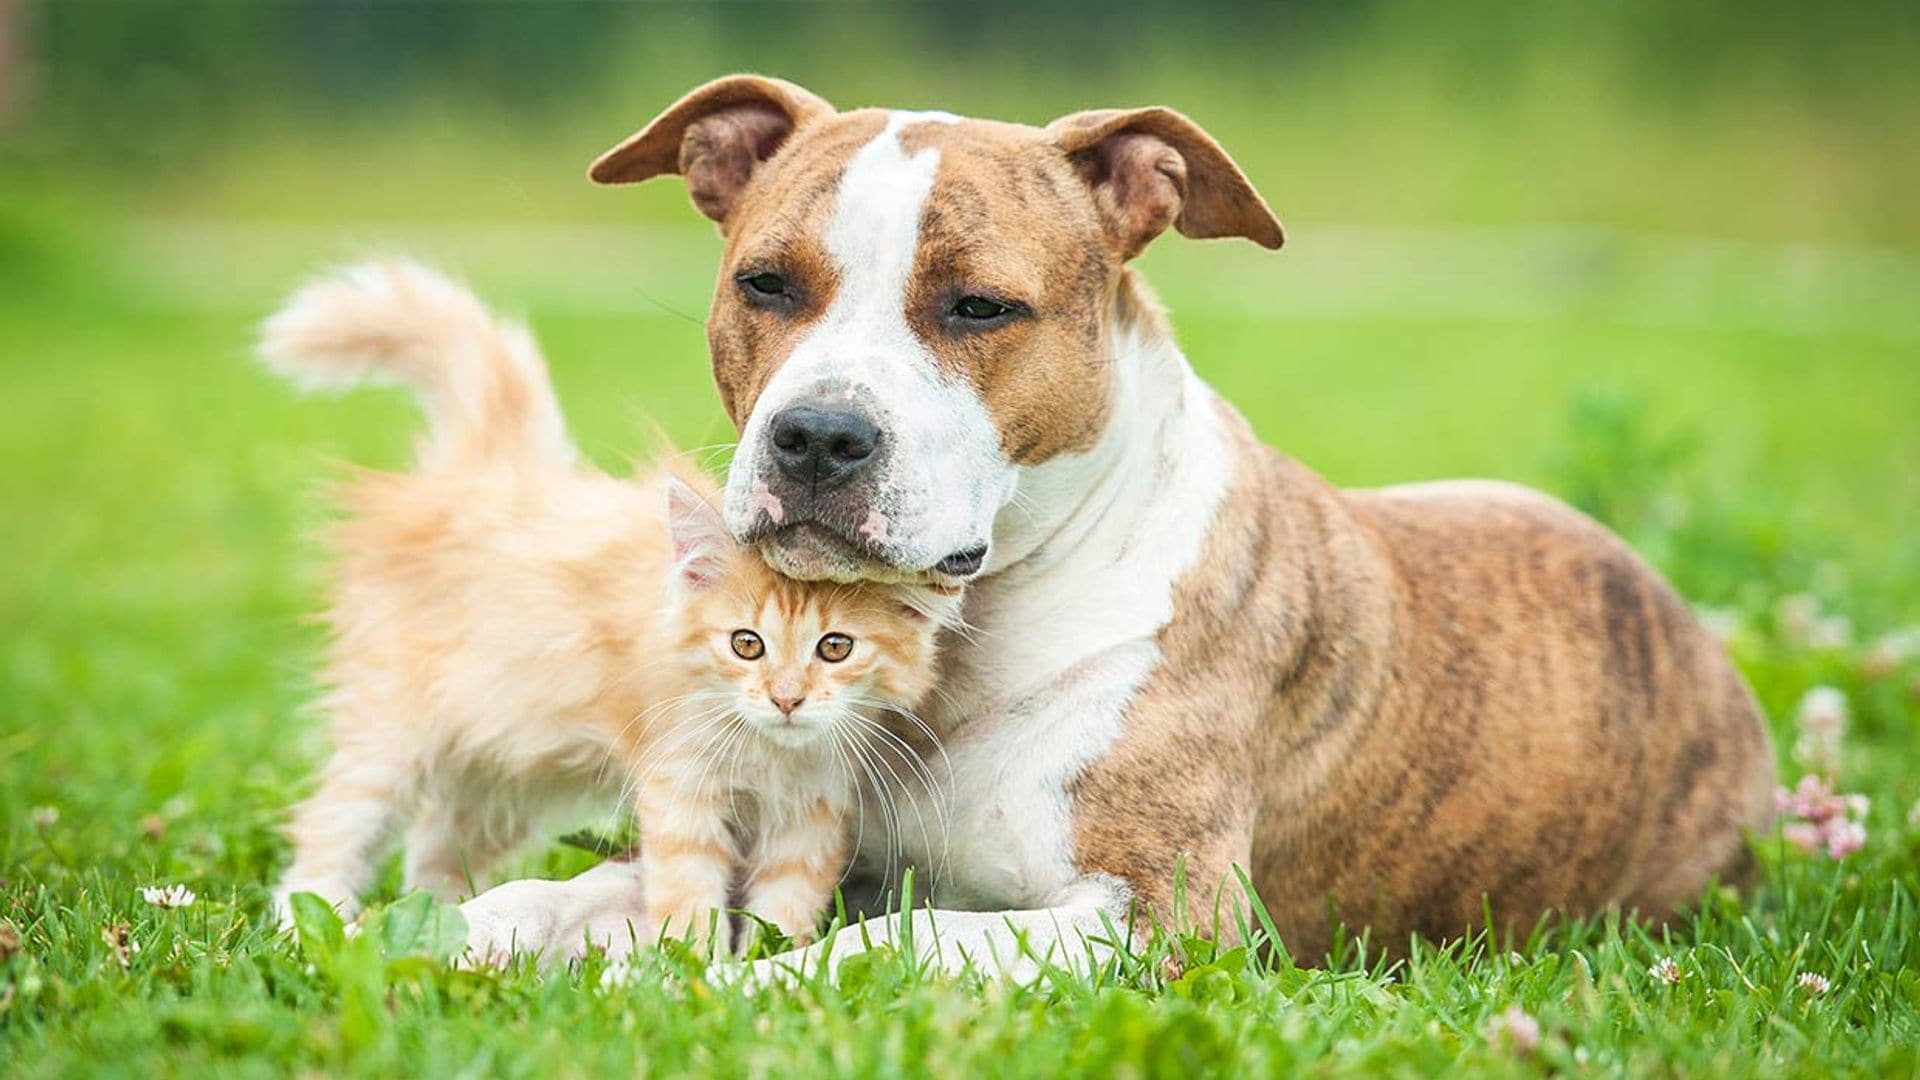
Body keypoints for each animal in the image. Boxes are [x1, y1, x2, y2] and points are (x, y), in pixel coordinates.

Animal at [263, 261, 952, 949]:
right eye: (745, 644)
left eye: (835, 648)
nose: (786, 699)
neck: (769, 751)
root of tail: (488, 470)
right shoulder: (679, 786)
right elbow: (689, 894)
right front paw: (695, 962)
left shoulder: (811, 812)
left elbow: (782, 910)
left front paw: (767, 961)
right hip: (393, 732)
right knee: (332, 827)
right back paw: (309, 923)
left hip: (498, 763)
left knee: (436, 847)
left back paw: (441, 915)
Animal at [456, 71, 1774, 972]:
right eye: (765, 284)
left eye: (981, 307)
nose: (819, 438)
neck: (959, 639)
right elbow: (553, 897)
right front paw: (455, 933)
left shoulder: (1161, 918)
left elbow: (891, 942)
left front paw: (738, 990)